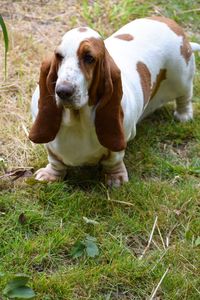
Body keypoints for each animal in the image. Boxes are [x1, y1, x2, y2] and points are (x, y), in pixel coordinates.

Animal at [28, 16, 199, 186]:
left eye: (89, 58)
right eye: (59, 56)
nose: (63, 91)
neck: (77, 119)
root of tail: (169, 22)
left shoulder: (120, 141)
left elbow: (113, 161)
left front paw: (116, 179)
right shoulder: (51, 147)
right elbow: (55, 160)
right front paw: (50, 174)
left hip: (181, 78)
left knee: (185, 95)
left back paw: (184, 115)